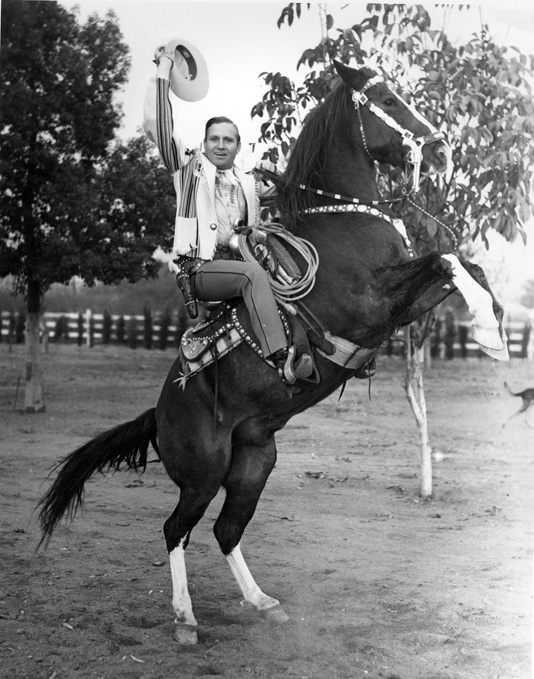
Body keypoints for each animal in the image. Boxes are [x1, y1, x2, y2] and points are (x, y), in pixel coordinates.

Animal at [38, 61, 510, 644]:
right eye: (384, 97)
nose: (441, 148)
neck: (341, 221)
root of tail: (160, 410)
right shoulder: (374, 304)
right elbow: (446, 258)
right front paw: (490, 332)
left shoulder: (399, 305)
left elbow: (463, 264)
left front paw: (493, 321)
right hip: (203, 474)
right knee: (176, 529)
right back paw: (185, 618)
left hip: (254, 463)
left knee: (225, 530)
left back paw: (261, 601)